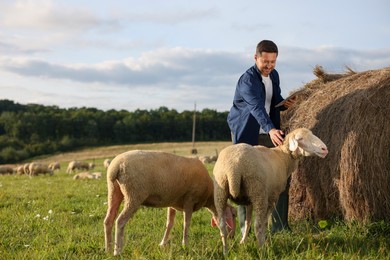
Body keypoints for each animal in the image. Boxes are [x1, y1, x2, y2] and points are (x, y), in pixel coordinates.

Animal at [103, 150, 236, 256]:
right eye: (234, 215)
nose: (232, 237)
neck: (209, 196)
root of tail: (116, 166)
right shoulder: (190, 199)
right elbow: (186, 224)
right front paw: (185, 245)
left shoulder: (173, 204)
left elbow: (169, 223)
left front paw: (163, 243)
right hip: (134, 194)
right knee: (120, 221)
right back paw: (117, 251)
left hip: (114, 190)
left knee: (108, 220)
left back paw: (108, 249)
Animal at [213, 127, 330, 255]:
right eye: (300, 138)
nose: (324, 149)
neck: (283, 156)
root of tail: (233, 167)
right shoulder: (272, 196)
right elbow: (264, 222)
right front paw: (264, 241)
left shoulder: (248, 200)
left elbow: (247, 221)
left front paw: (243, 241)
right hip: (258, 192)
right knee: (258, 225)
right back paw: (262, 250)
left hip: (221, 191)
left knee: (222, 225)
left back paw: (225, 252)